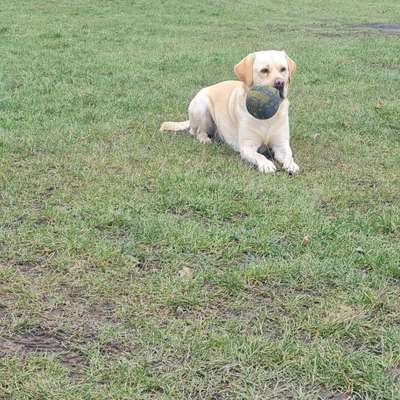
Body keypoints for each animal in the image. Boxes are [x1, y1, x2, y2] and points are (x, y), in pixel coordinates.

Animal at [161, 49, 298, 173]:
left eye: (283, 69)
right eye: (264, 70)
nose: (280, 83)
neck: (268, 118)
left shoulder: (281, 145)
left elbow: (289, 155)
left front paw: (291, 164)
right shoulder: (247, 147)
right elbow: (259, 155)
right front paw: (266, 164)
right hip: (202, 105)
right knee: (197, 132)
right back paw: (205, 139)